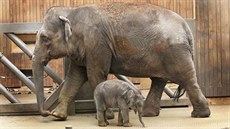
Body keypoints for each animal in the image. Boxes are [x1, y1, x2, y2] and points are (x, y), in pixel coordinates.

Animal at [31, 2, 210, 120]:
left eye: (44, 37)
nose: (46, 113)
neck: (71, 11)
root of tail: (185, 26)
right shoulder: (85, 48)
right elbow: (74, 78)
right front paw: (58, 116)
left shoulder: (97, 44)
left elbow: (95, 75)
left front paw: (107, 116)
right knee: (159, 80)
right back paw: (148, 114)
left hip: (175, 52)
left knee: (187, 78)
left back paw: (200, 115)